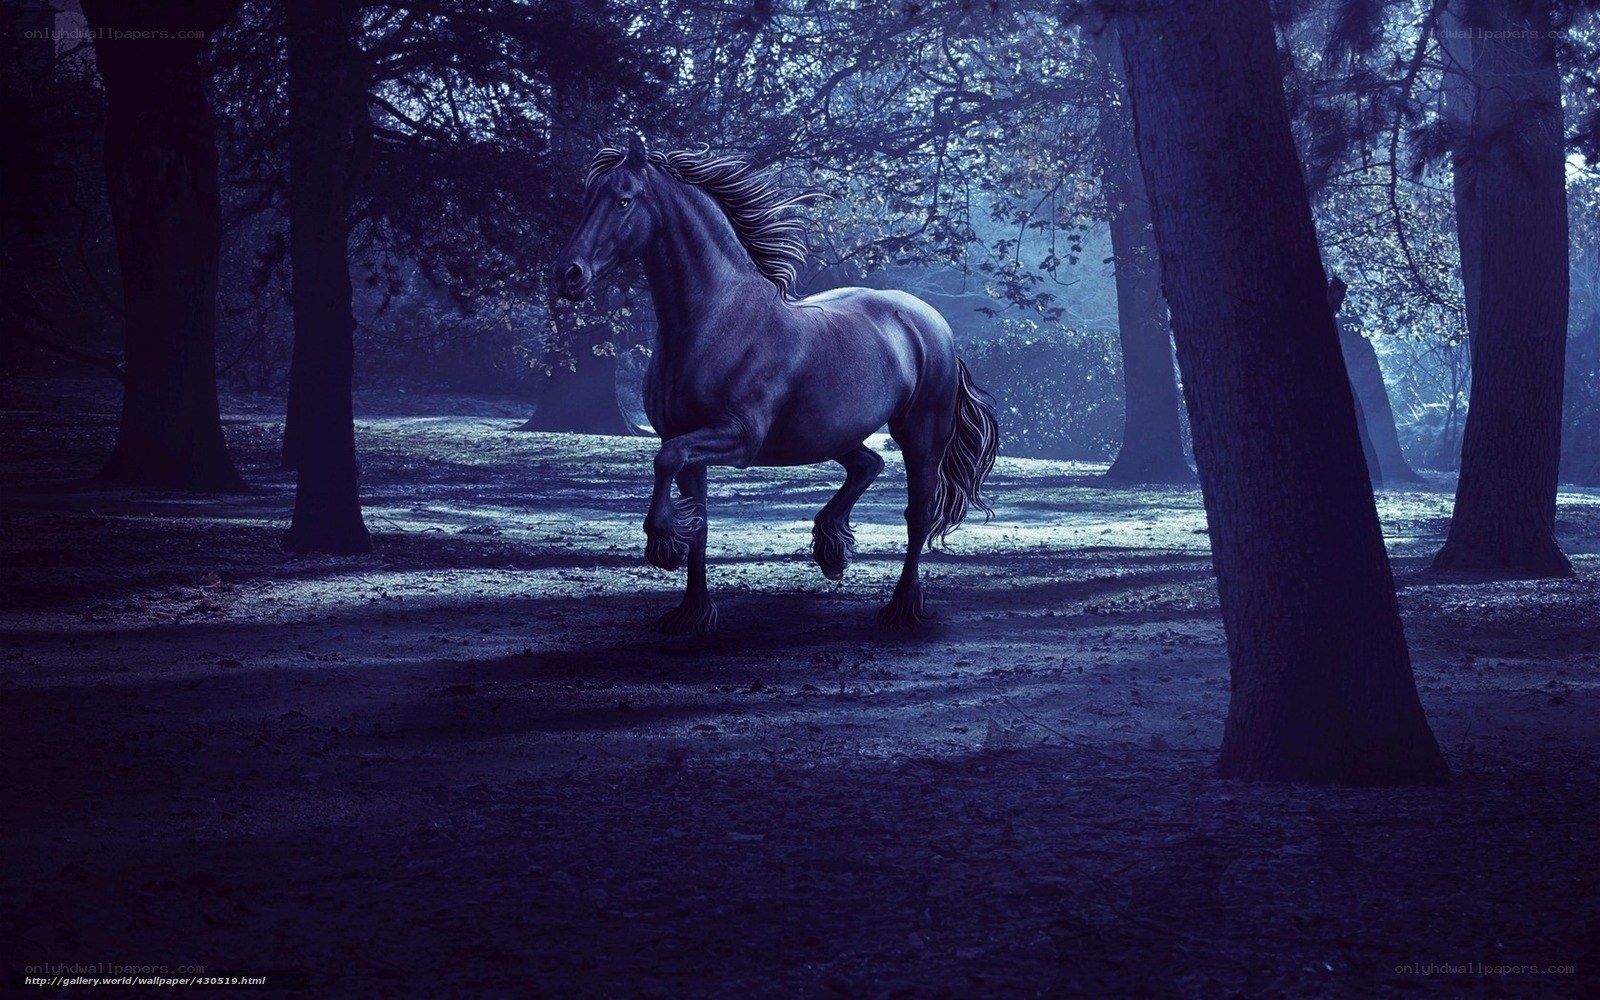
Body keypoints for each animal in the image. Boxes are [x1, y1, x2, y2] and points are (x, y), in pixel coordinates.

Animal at [552, 134, 998, 633]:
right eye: (588, 197)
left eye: (623, 200)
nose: (568, 275)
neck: (716, 320)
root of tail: (932, 323)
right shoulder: (683, 437)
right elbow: (697, 515)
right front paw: (692, 612)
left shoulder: (739, 439)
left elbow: (665, 461)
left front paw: (664, 544)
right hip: (830, 432)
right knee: (868, 465)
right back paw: (831, 550)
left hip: (919, 433)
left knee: (917, 513)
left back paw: (900, 607)